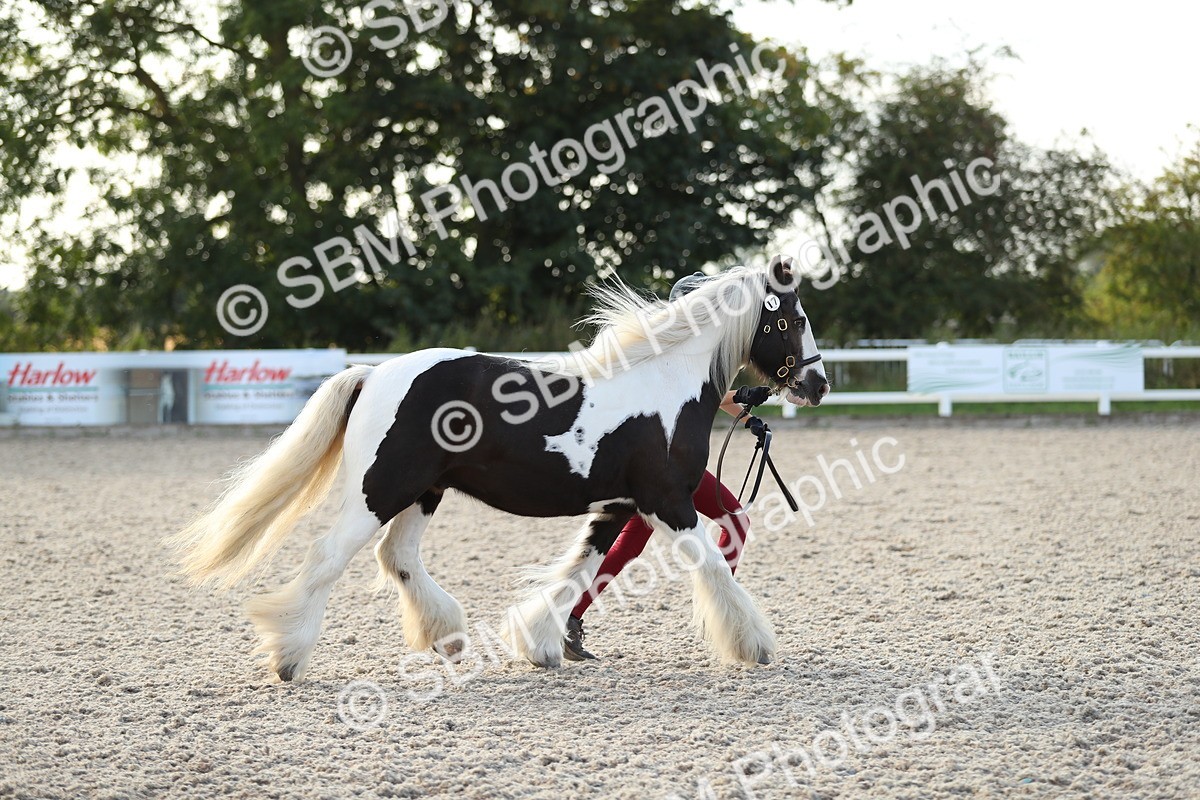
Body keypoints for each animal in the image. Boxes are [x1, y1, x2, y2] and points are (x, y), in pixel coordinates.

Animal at [168, 256, 830, 681]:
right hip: (380, 490)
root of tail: (374, 374)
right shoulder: (667, 501)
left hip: (424, 491)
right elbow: (715, 565)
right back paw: (288, 657)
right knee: (330, 556)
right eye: (794, 319)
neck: (664, 387)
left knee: (396, 557)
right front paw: (754, 643)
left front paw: (540, 647)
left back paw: (448, 636)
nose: (818, 384)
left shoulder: (618, 506)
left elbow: (578, 571)